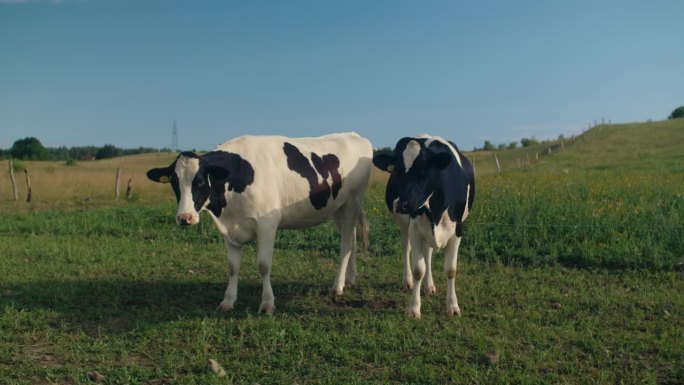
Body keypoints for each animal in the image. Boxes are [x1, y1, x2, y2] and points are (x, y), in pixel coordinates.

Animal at [147, 132, 372, 312]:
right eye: (174, 182)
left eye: (200, 181)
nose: (184, 218)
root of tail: (355, 135)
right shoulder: (229, 229)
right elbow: (233, 267)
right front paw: (228, 301)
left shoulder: (267, 224)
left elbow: (263, 265)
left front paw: (267, 304)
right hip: (338, 208)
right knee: (351, 239)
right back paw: (350, 278)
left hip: (353, 202)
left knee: (346, 245)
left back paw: (338, 286)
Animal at [374, 135, 476, 318]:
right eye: (396, 170)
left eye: (423, 170)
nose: (401, 205)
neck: (434, 209)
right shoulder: (414, 230)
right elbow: (418, 270)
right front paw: (414, 308)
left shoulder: (457, 231)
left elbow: (451, 269)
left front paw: (452, 306)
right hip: (405, 228)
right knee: (406, 250)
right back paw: (407, 281)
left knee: (428, 254)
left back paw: (429, 286)